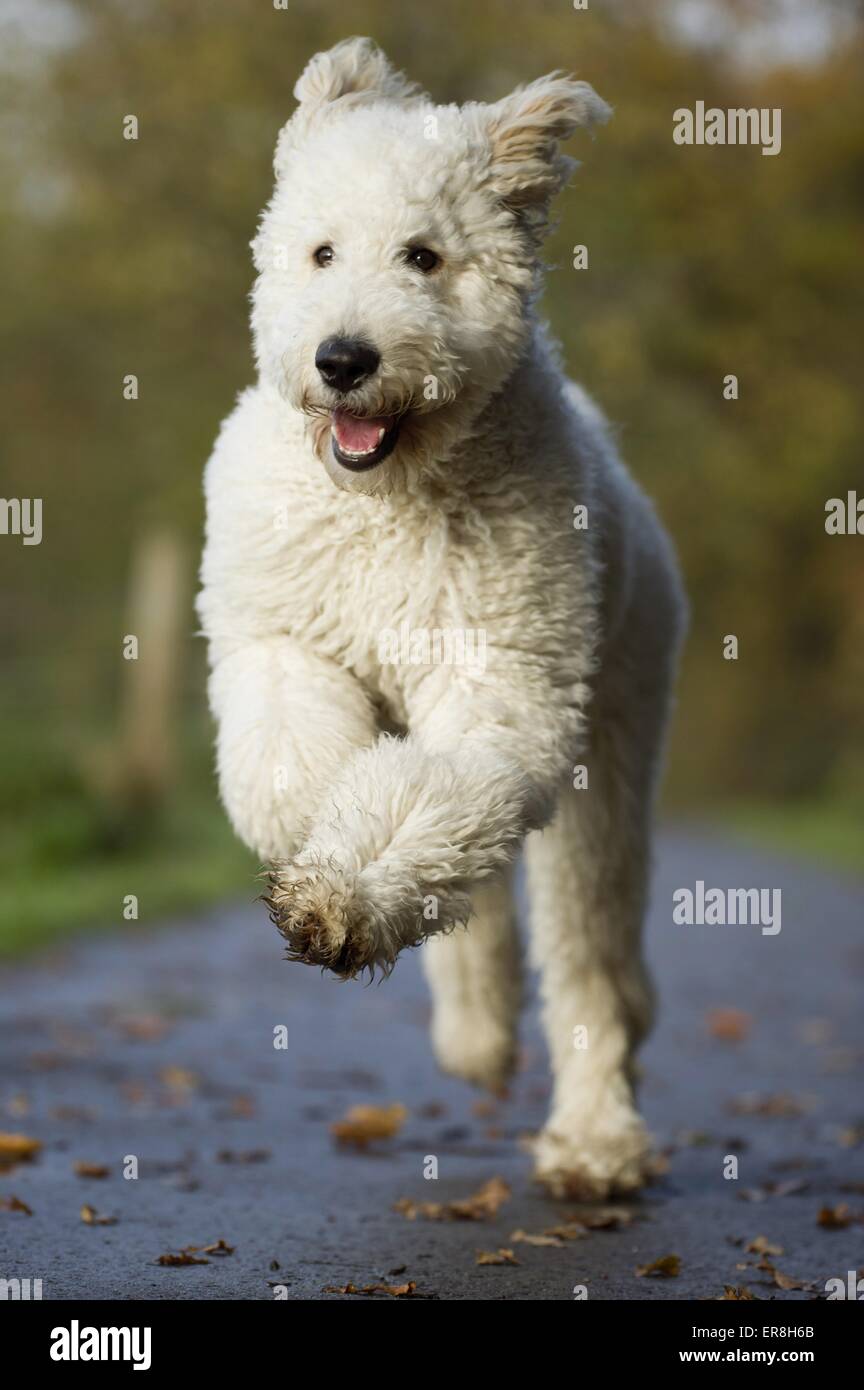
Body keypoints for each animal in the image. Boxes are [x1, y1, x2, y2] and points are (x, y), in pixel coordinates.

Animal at [200, 38, 686, 1200]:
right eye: (322, 250)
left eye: (423, 257)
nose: (343, 359)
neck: (388, 500)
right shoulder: (283, 640)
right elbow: (298, 773)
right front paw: (322, 858)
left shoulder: (501, 689)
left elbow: (418, 800)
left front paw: (344, 889)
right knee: (486, 902)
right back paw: (475, 1027)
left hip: (610, 761)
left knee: (590, 961)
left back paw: (595, 1141)